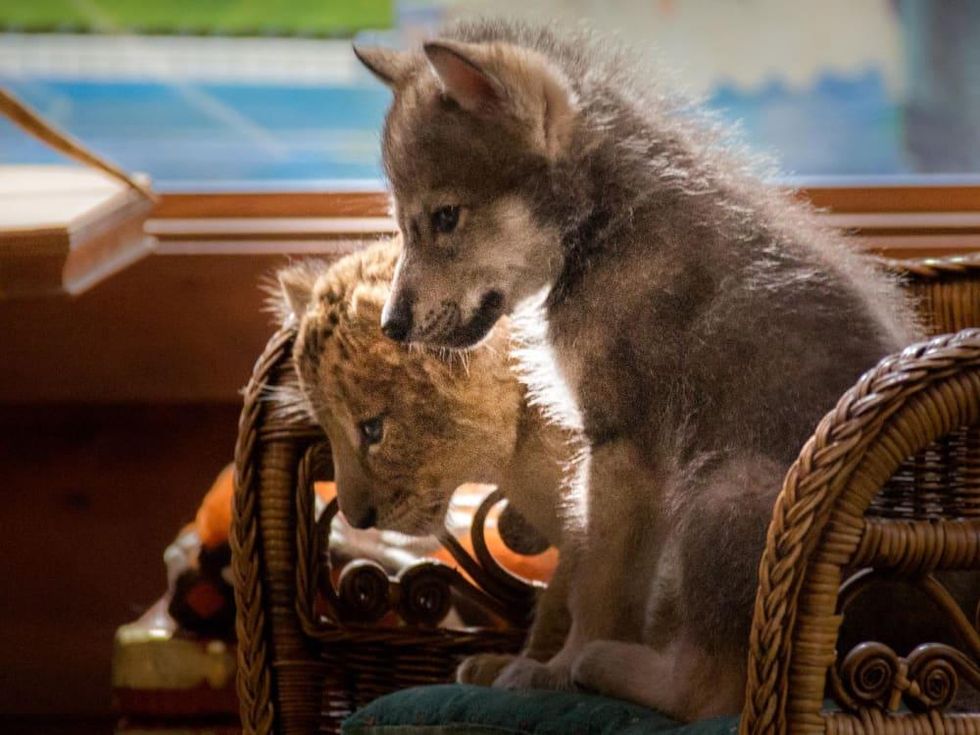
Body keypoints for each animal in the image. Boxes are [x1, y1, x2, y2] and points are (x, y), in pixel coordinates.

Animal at [354, 20, 923, 720]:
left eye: (445, 217)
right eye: (404, 223)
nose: (391, 326)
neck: (604, 230)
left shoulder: (623, 450)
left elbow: (599, 590)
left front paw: (553, 671)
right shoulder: (598, 460)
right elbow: (579, 574)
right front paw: (513, 665)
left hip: (724, 494)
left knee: (708, 693)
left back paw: (606, 668)